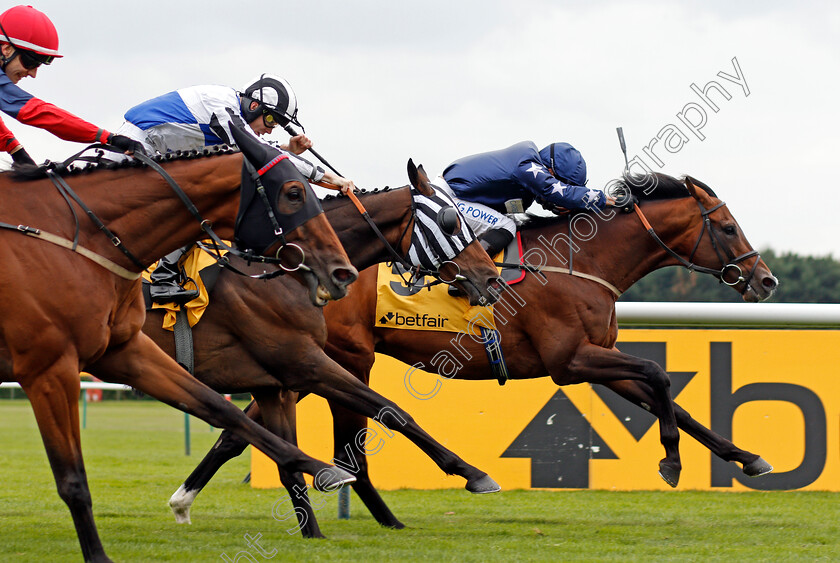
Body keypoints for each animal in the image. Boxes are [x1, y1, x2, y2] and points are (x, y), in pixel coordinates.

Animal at [0, 125, 358, 560]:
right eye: (293, 193)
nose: (343, 272)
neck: (77, 238)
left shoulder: (124, 351)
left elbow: (223, 412)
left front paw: (324, 472)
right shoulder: (49, 368)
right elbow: (72, 479)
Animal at [172, 174, 780, 532]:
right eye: (728, 227)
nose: (766, 279)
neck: (583, 262)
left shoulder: (595, 357)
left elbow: (670, 398)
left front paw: (746, 457)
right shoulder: (570, 361)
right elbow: (659, 373)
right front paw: (672, 461)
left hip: (315, 361)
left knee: (244, 427)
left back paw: (186, 497)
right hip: (340, 359)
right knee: (327, 436)